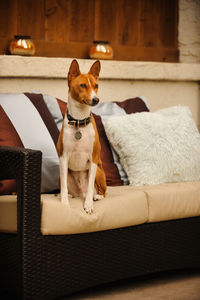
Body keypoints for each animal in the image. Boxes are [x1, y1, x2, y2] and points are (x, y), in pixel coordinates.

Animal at [55, 59, 106, 213]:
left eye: (96, 86)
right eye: (83, 85)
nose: (96, 99)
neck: (79, 121)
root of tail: (79, 193)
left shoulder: (93, 159)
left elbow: (90, 187)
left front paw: (88, 204)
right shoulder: (63, 157)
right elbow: (64, 186)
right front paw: (64, 203)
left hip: (99, 172)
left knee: (102, 191)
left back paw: (96, 197)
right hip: (61, 174)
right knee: (67, 188)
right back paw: (67, 196)